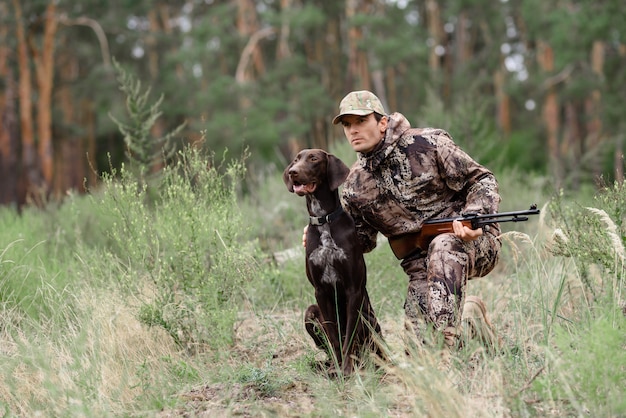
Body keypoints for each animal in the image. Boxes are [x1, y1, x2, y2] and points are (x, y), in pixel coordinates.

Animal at [282, 149, 380, 376]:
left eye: (314, 159)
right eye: (296, 159)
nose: (292, 172)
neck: (324, 220)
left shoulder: (354, 290)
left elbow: (348, 337)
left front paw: (346, 369)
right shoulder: (320, 292)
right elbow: (335, 337)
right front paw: (337, 369)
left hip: (368, 317)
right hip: (310, 312)